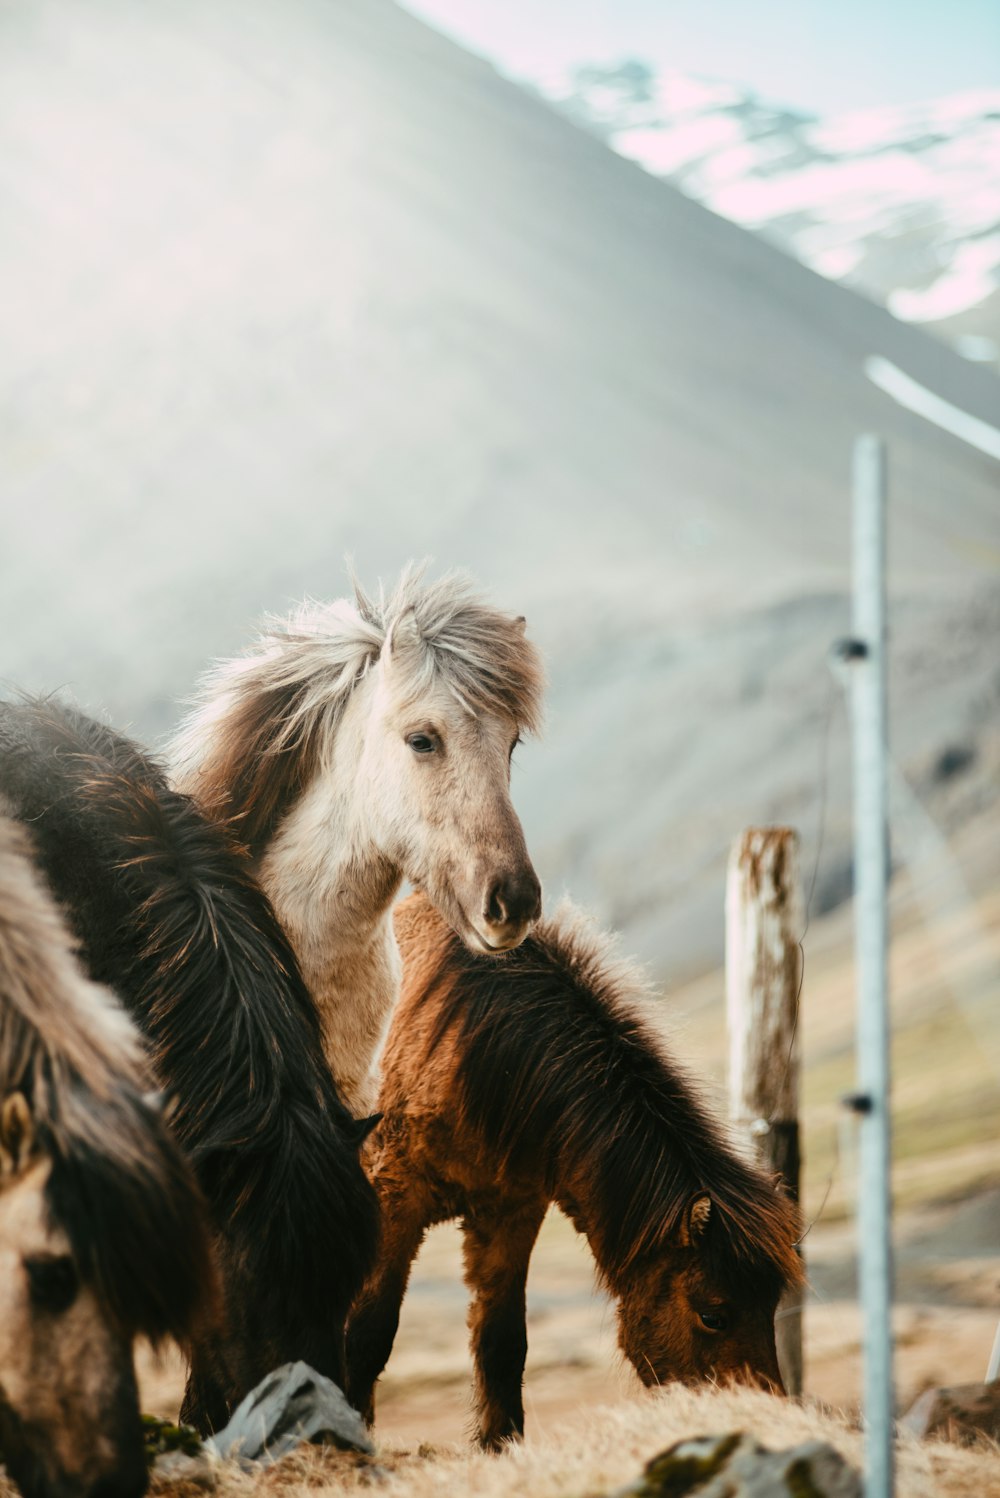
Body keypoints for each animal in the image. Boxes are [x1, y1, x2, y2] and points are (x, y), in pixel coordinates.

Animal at [347, 892, 802, 1444]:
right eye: (713, 1315)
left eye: (771, 1304)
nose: (764, 1416)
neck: (468, 1048)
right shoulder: (395, 1201)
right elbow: (369, 1334)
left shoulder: (510, 1213)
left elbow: (502, 1343)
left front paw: (501, 1447)